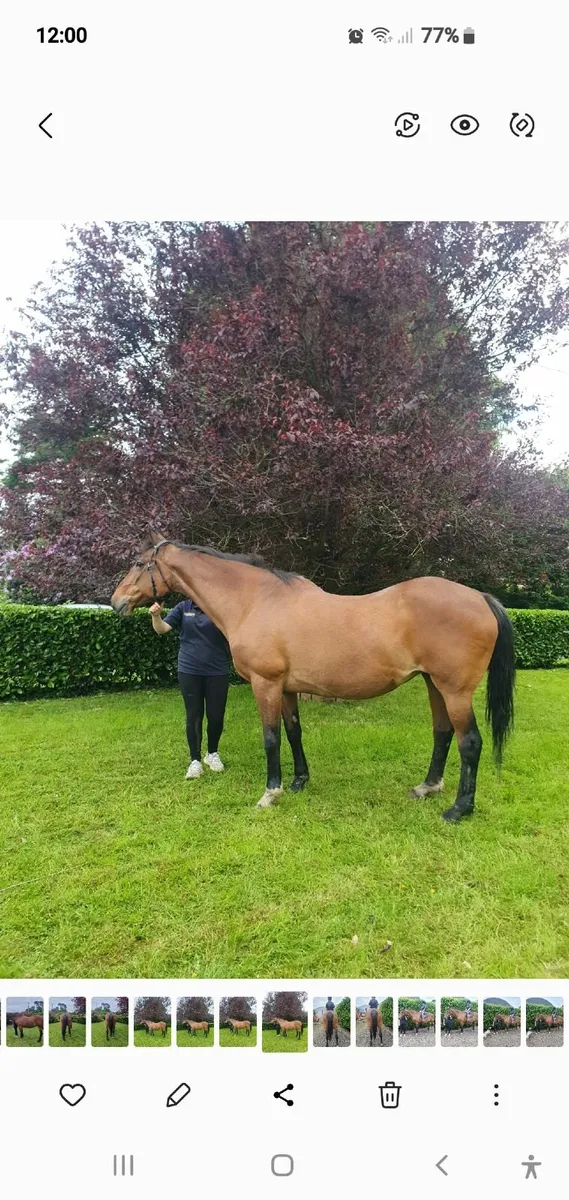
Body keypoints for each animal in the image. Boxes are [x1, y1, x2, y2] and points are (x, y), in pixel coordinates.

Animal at [111, 538, 516, 824]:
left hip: (455, 691)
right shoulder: (287, 688)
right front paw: (298, 782)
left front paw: (270, 793)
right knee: (443, 734)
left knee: (470, 743)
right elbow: (293, 732)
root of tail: (481, 597)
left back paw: (459, 809)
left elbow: (271, 738)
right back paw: (427, 788)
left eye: (138, 563)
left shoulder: (266, 684)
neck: (255, 600)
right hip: (434, 684)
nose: (116, 602)